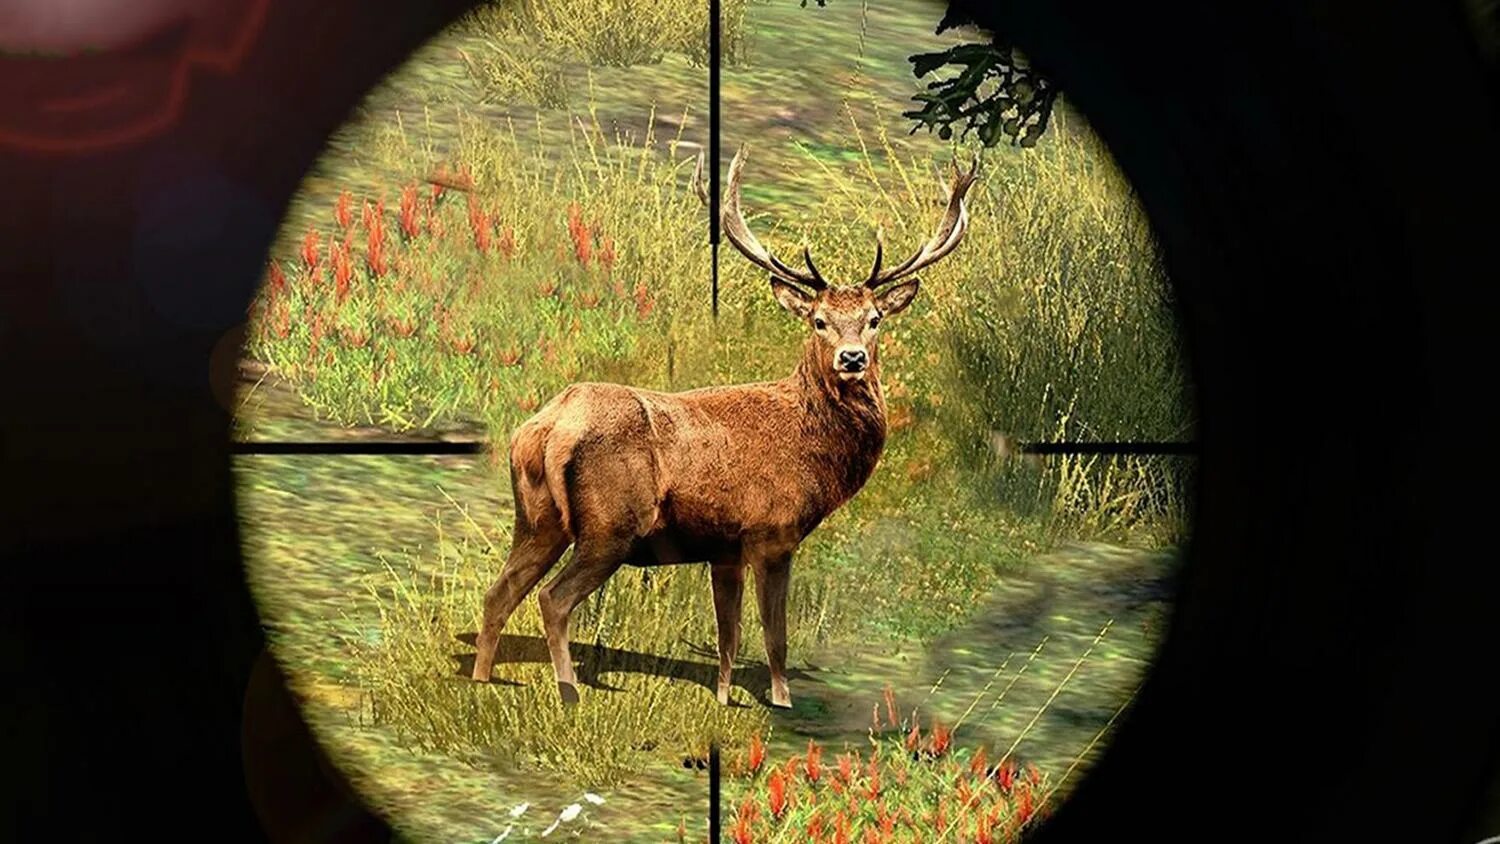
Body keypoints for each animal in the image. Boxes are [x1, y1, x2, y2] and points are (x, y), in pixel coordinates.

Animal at [470, 145, 979, 708]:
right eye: (819, 320)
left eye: (874, 319)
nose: (852, 359)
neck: (815, 451)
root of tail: (547, 429)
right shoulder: (773, 533)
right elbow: (775, 634)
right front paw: (780, 700)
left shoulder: (723, 549)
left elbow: (728, 634)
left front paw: (722, 697)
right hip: (610, 526)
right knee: (552, 598)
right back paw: (570, 691)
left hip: (536, 520)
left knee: (498, 593)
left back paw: (482, 680)